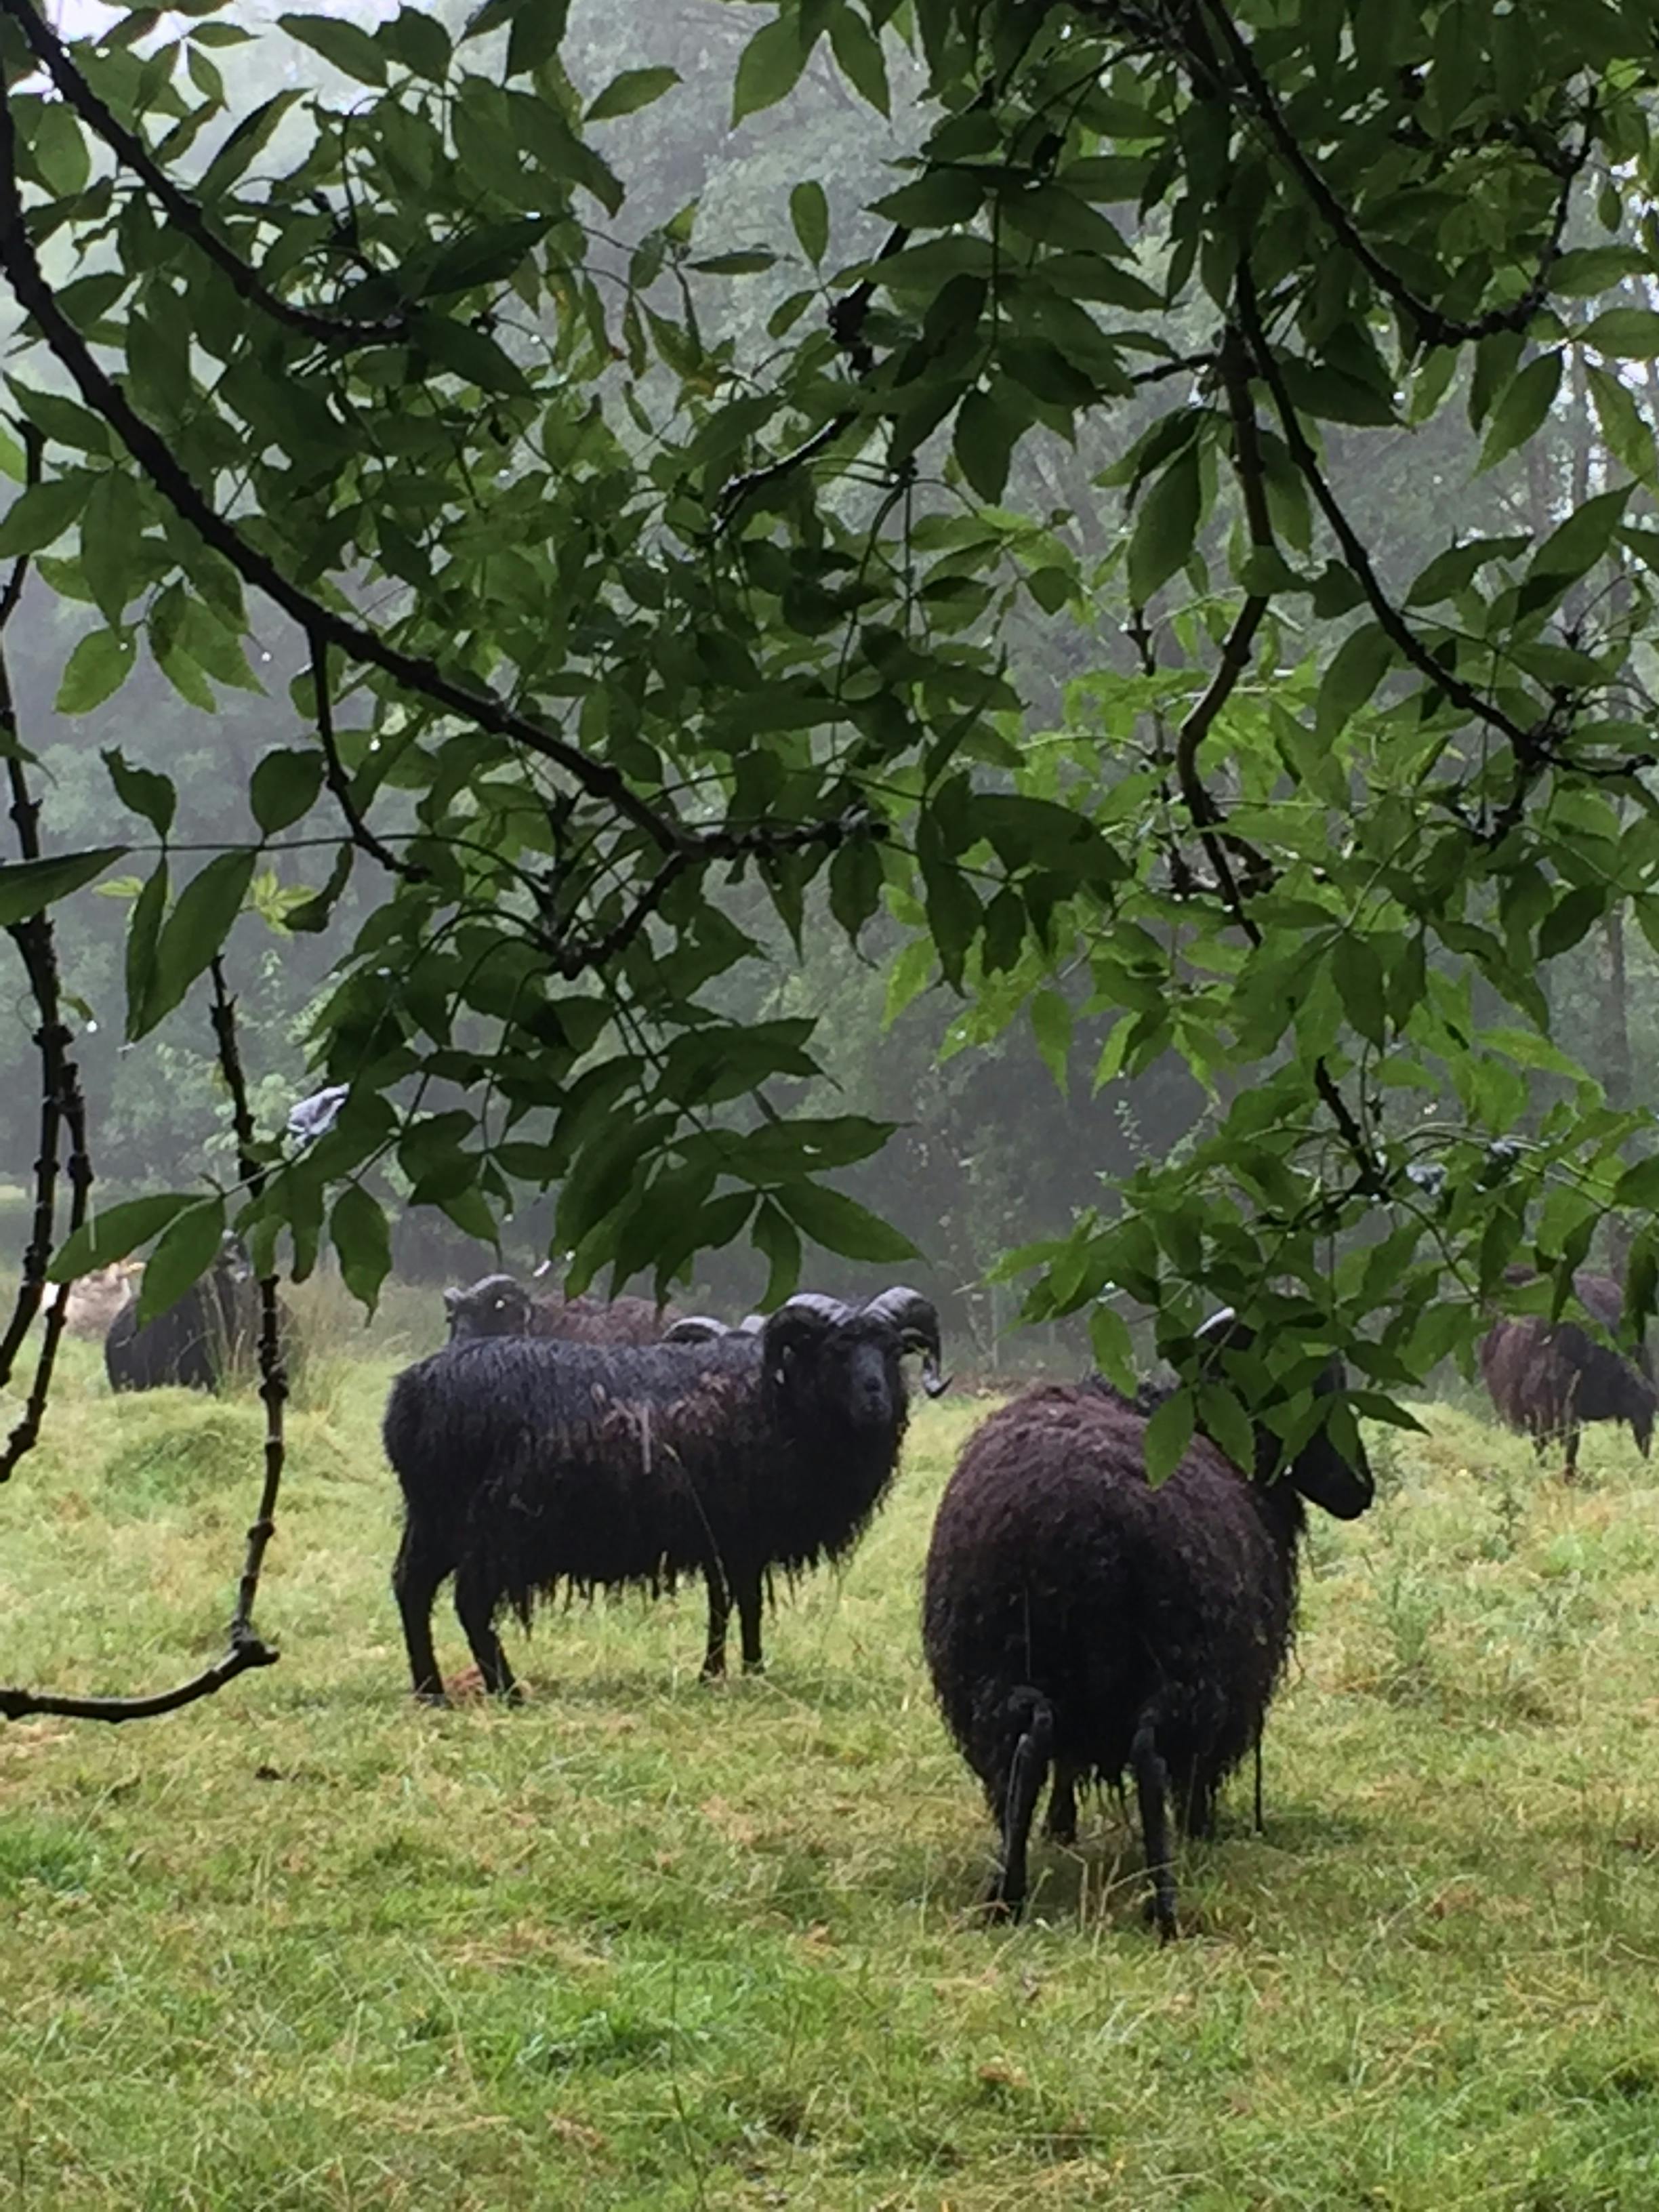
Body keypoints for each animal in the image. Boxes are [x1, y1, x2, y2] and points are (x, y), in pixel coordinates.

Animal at [385, 1284, 946, 1702]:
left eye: (894, 1350)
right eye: (836, 1350)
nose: (876, 1400)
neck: (780, 1396)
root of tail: (413, 1395)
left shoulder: (720, 1536)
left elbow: (726, 1604)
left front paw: (721, 1671)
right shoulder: (741, 1531)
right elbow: (745, 1601)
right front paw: (750, 1669)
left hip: (434, 1517)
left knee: (410, 1588)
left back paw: (431, 1690)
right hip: (497, 1525)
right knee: (470, 1604)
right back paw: (507, 1690)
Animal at [921, 1315, 1374, 1936]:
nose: (1361, 1489)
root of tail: (1089, 1529)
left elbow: (1066, 1760)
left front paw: (1059, 1826)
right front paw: (1201, 1829)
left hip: (1000, 1658)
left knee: (1029, 1742)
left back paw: (1008, 1893)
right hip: (1182, 1662)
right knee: (1151, 1754)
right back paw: (1164, 1900)